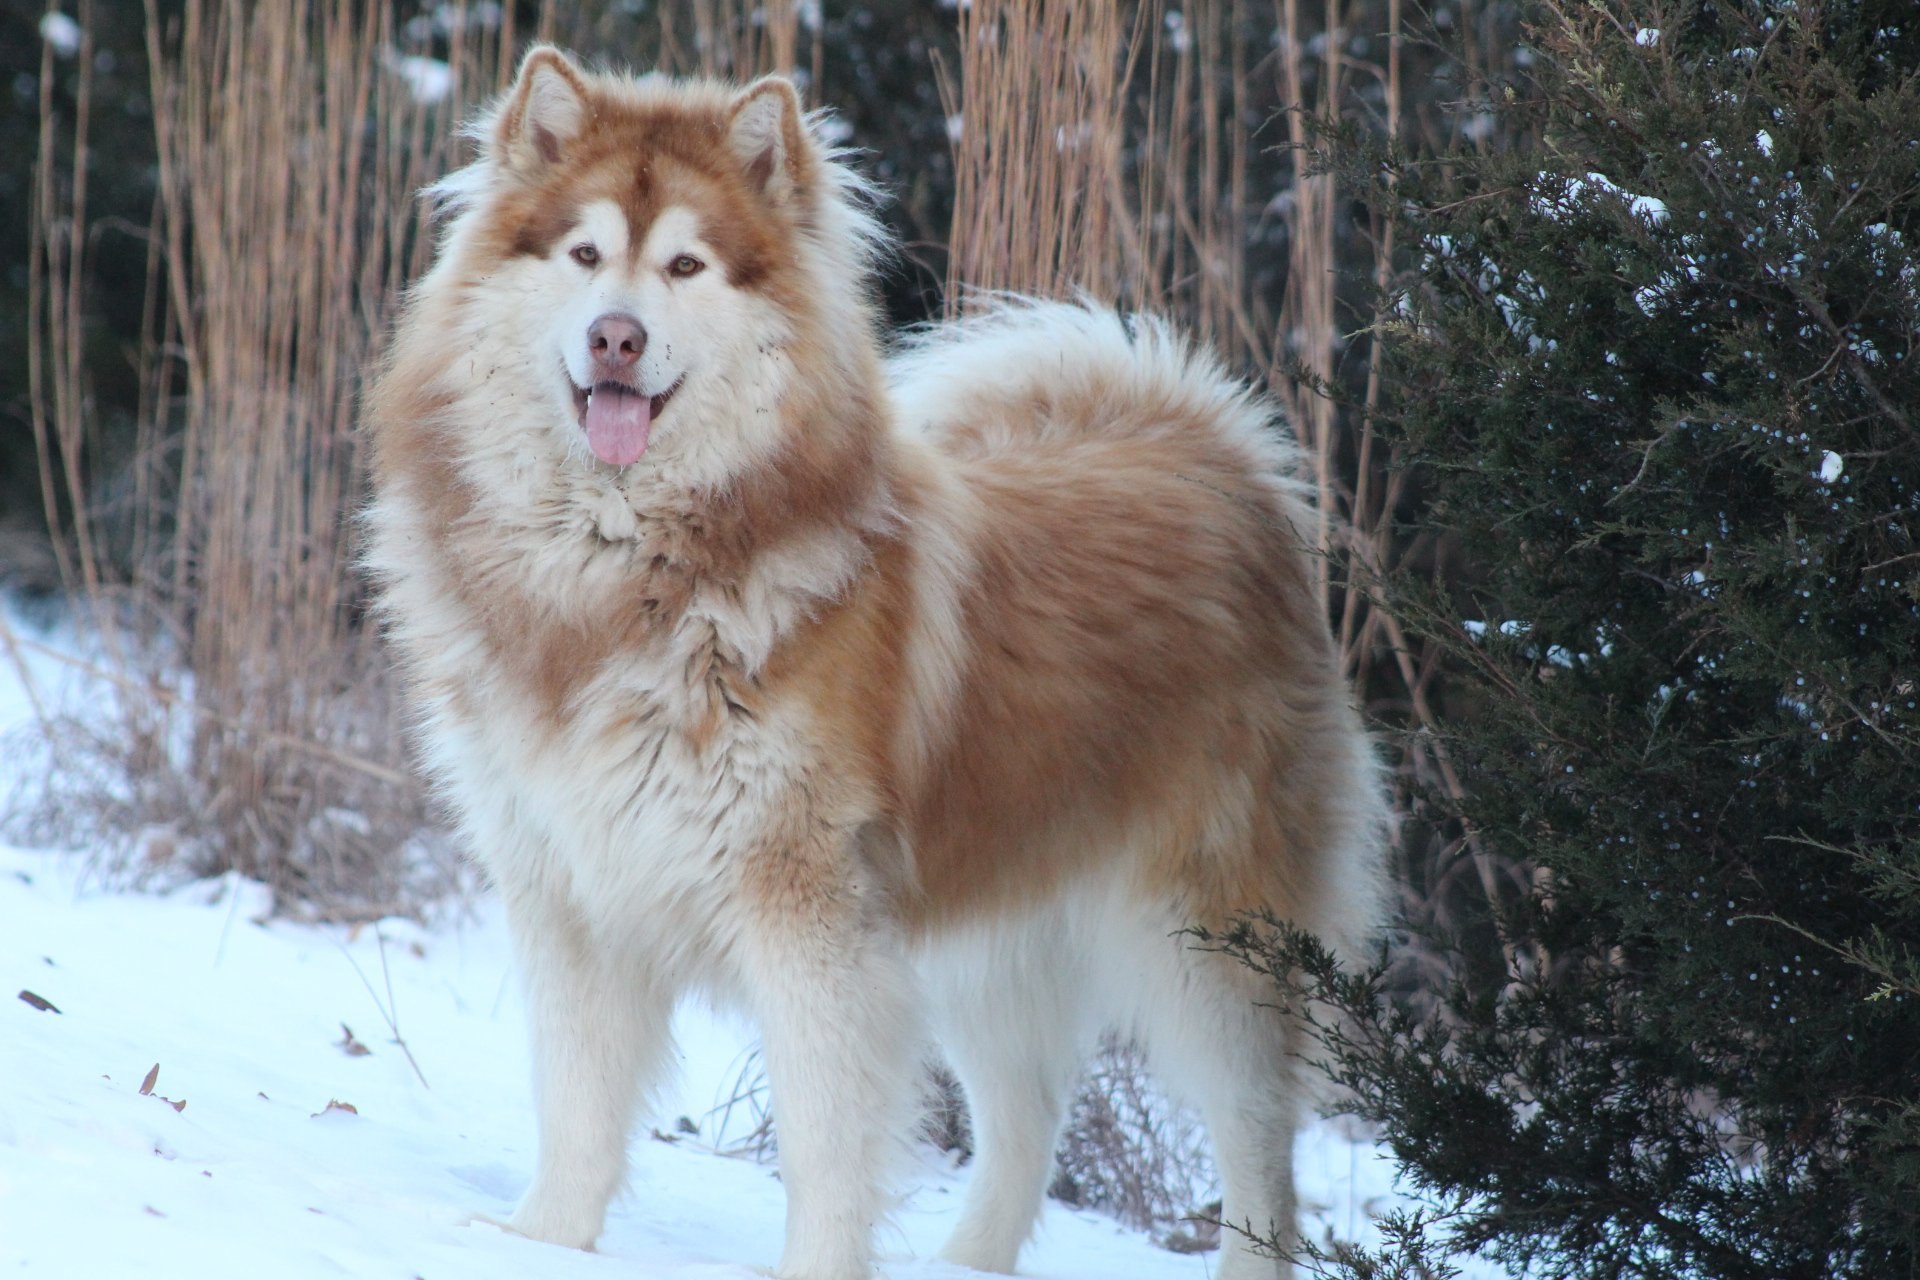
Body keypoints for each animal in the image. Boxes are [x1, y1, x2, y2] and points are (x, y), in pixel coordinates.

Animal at [357, 42, 1382, 1280]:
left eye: (686, 264)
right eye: (586, 255)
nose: (616, 336)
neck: (622, 574)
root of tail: (1219, 461)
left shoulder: (808, 911)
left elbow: (824, 1142)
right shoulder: (571, 891)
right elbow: (578, 1103)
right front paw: (542, 1242)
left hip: (1205, 949)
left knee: (1260, 1154)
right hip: (991, 938)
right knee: (1029, 1118)